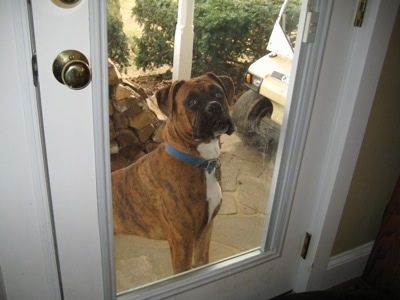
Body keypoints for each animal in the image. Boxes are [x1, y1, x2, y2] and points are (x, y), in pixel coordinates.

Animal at [112, 72, 234, 274]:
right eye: (191, 101)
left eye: (218, 93)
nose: (214, 107)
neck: (200, 161)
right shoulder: (182, 240)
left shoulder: (205, 230)